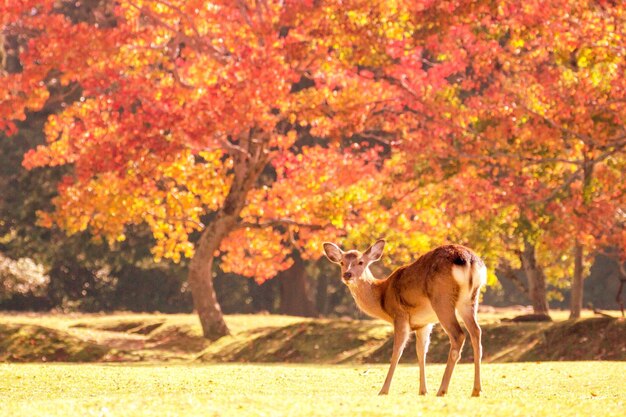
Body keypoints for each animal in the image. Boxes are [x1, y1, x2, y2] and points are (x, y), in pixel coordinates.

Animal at [324, 239, 486, 394]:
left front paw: (383, 390)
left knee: (459, 335)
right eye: (342, 262)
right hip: (470, 300)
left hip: (442, 299)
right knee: (476, 332)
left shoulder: (400, 315)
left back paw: (442, 390)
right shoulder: (424, 324)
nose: (347, 275)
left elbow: (397, 351)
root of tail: (468, 259)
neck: (383, 296)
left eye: (361, 262)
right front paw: (423, 390)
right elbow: (421, 352)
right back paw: (476, 389)